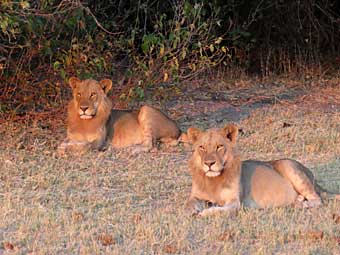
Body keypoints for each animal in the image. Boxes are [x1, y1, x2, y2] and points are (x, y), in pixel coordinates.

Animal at [186, 124, 340, 216]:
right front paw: (194, 210)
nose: (209, 163)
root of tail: (310, 174)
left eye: (219, 146)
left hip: (290, 167)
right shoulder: (195, 196)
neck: (213, 180)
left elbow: (218, 210)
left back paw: (303, 204)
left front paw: (205, 212)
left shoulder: (235, 202)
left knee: (318, 198)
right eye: (202, 147)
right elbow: (189, 203)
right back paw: (298, 201)